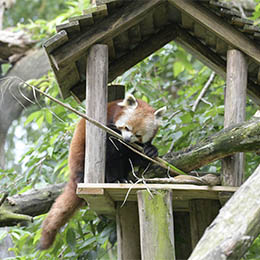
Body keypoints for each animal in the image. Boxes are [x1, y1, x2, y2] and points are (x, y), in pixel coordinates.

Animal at [39, 94, 165, 250]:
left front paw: (150, 150)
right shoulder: (108, 126)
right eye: (126, 127)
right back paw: (116, 179)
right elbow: (110, 156)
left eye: (138, 135)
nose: (127, 139)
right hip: (81, 161)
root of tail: (75, 177)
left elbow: (136, 154)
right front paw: (115, 178)